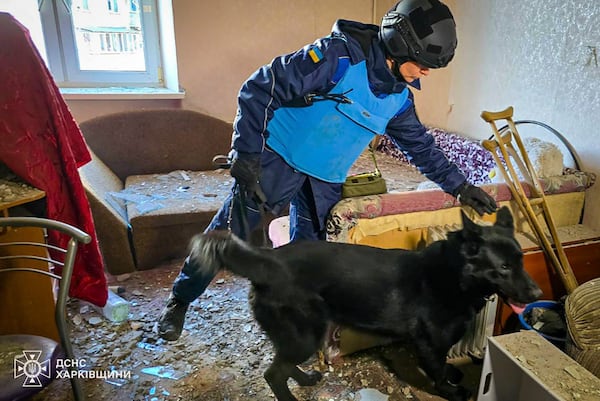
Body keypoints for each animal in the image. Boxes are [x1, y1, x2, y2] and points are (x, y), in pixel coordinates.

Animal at [191, 206, 544, 400]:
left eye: (520, 260)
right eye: (504, 267)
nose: (539, 294)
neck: (455, 275)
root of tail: (267, 262)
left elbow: (444, 365)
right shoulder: (429, 343)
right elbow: (438, 371)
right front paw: (452, 390)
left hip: (304, 334)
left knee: (283, 365)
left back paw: (306, 380)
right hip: (305, 334)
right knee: (274, 373)